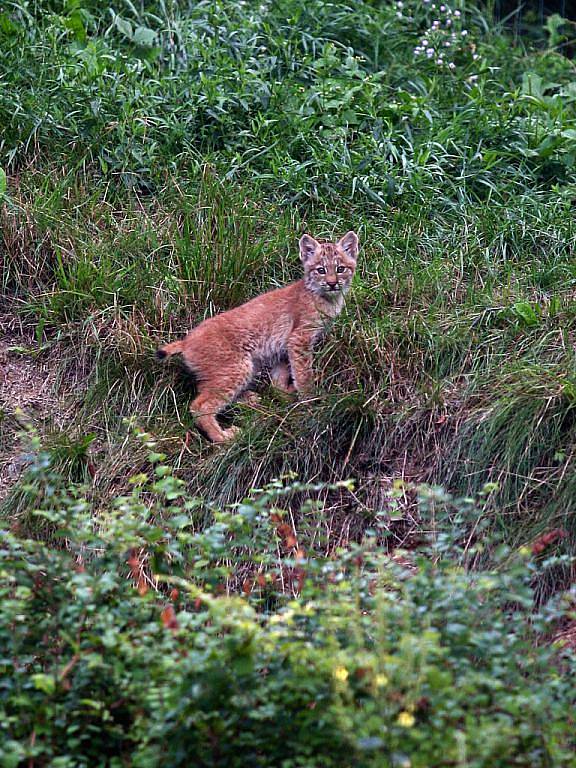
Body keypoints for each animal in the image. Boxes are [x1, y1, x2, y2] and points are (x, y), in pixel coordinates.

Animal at [155, 231, 358, 440]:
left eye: (341, 269)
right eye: (321, 270)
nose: (332, 283)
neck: (327, 297)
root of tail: (186, 340)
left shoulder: (282, 347)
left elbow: (279, 379)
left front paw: (287, 395)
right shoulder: (300, 338)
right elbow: (303, 373)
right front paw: (311, 399)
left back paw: (249, 399)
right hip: (237, 368)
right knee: (200, 406)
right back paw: (224, 438)